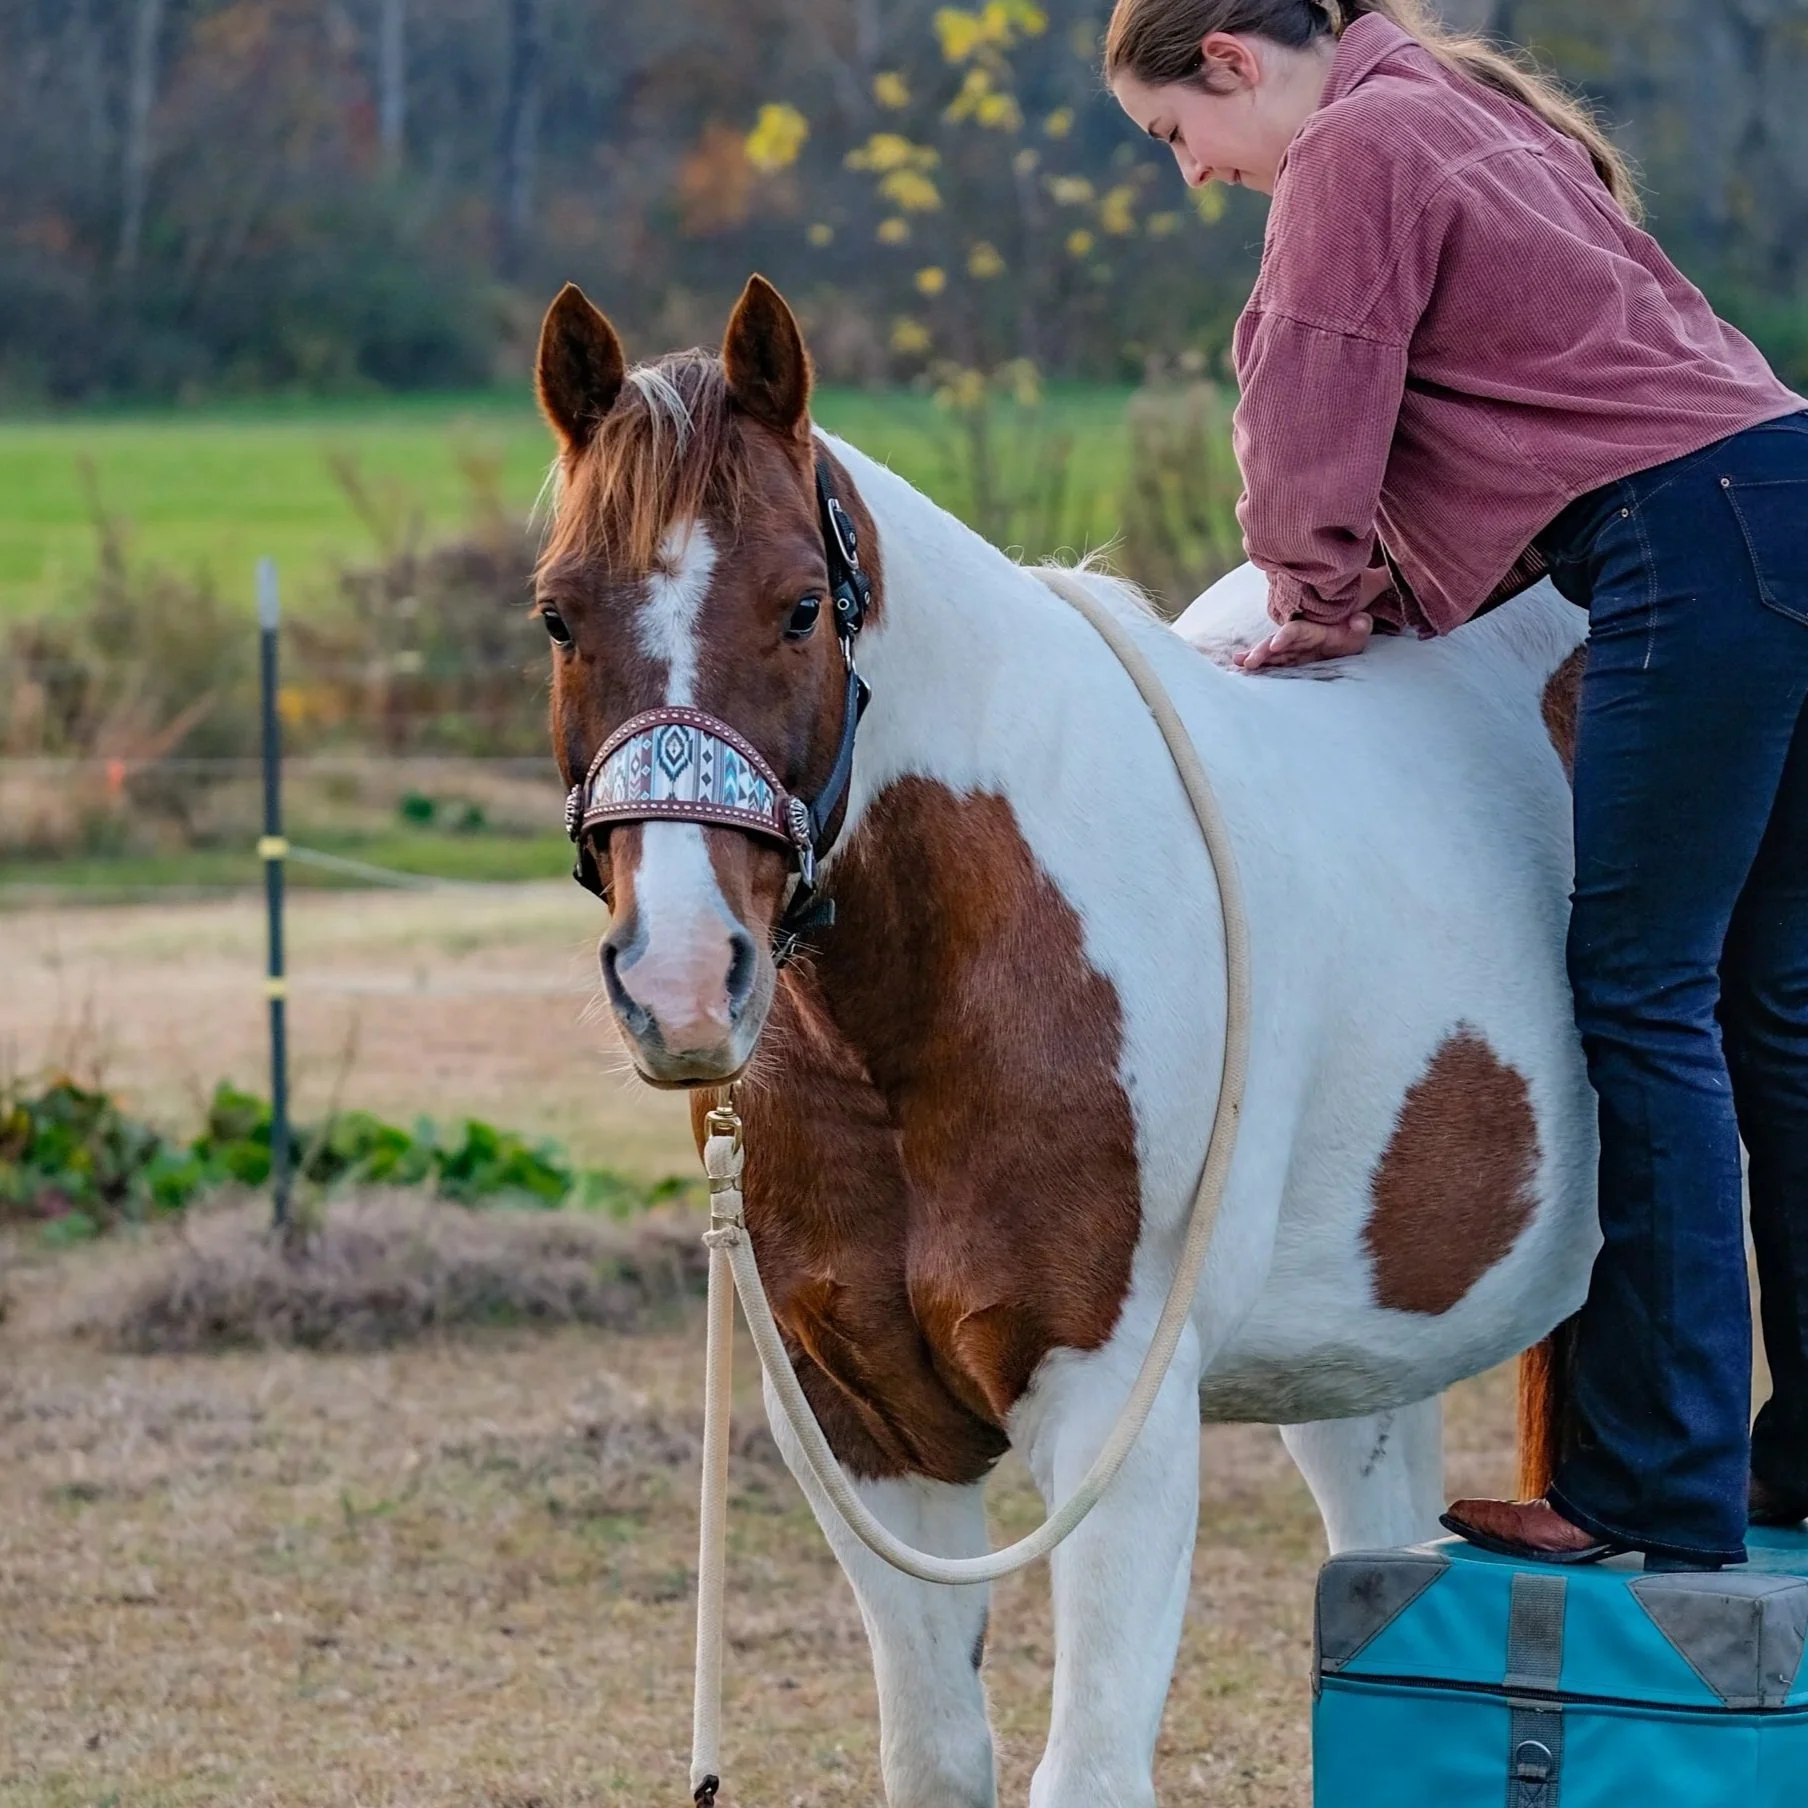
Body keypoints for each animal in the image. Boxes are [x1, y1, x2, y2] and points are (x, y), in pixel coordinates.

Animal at [532, 272, 1596, 1808]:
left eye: (798, 610)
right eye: (559, 618)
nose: (680, 979)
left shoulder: (1116, 1427)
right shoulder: (865, 1433)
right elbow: (933, 1756)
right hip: (1364, 1356)